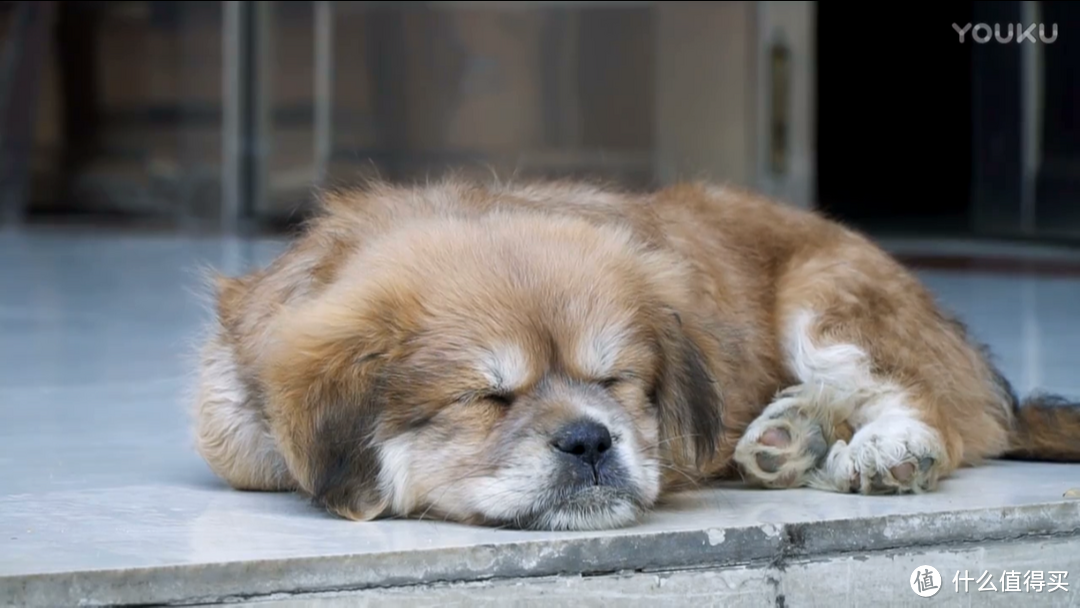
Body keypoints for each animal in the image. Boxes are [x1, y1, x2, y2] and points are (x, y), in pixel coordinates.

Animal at [190, 178, 1080, 531]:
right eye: (489, 397)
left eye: (614, 381)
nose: (589, 440)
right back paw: (786, 439)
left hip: (831, 297)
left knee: (934, 407)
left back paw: (884, 448)